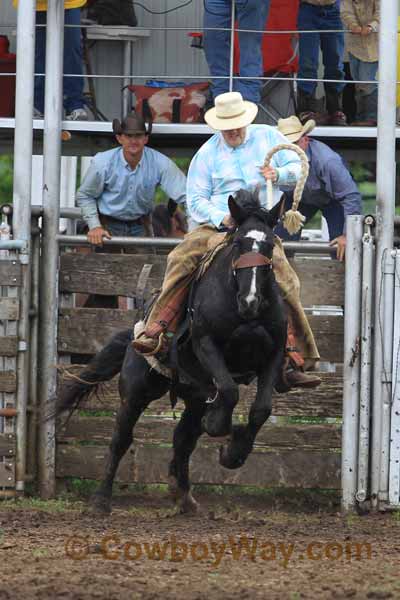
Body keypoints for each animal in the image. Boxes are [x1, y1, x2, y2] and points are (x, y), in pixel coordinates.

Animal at [57, 190, 288, 512]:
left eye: (269, 245)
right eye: (239, 243)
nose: (251, 300)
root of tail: (137, 330)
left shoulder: (273, 355)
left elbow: (261, 409)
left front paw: (234, 452)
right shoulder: (206, 344)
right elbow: (230, 392)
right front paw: (218, 426)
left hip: (195, 395)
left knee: (183, 440)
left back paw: (184, 497)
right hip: (136, 390)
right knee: (121, 438)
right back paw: (101, 499)